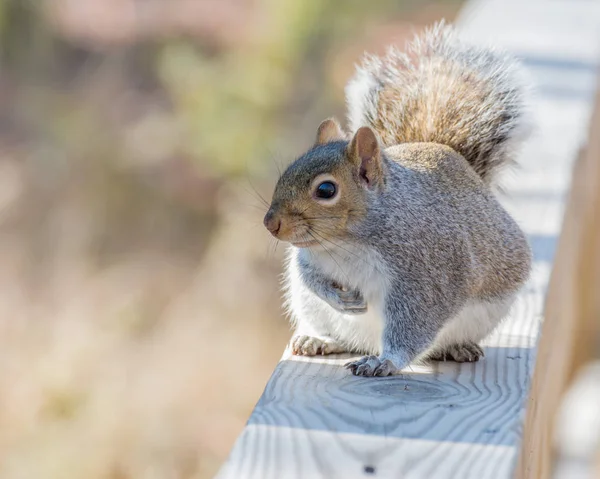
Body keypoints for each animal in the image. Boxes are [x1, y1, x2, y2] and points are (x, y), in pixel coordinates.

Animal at [262, 22, 528, 376]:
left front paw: (386, 361)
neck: (346, 244)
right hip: (313, 310)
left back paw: (457, 347)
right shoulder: (309, 258)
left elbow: (414, 322)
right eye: (287, 172)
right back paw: (318, 339)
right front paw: (338, 297)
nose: (270, 223)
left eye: (326, 190)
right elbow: (310, 276)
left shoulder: (425, 274)